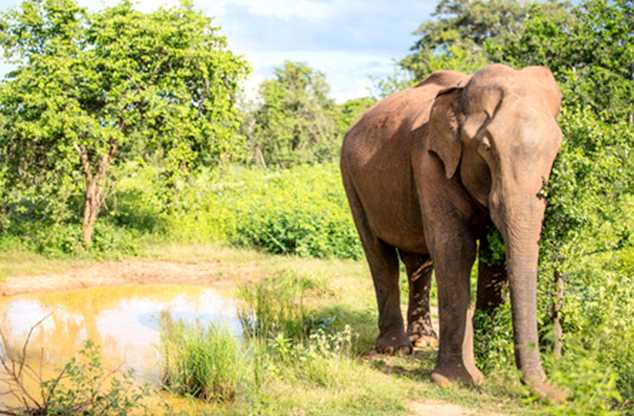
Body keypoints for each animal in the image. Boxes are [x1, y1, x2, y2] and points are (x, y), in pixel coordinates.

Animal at [340, 62, 564, 400]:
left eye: (557, 148)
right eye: (486, 148)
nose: (560, 394)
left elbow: (495, 257)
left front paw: (484, 357)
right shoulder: (429, 161)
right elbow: (455, 248)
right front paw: (457, 380)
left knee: (418, 262)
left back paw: (423, 341)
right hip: (351, 179)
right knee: (380, 256)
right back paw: (395, 349)